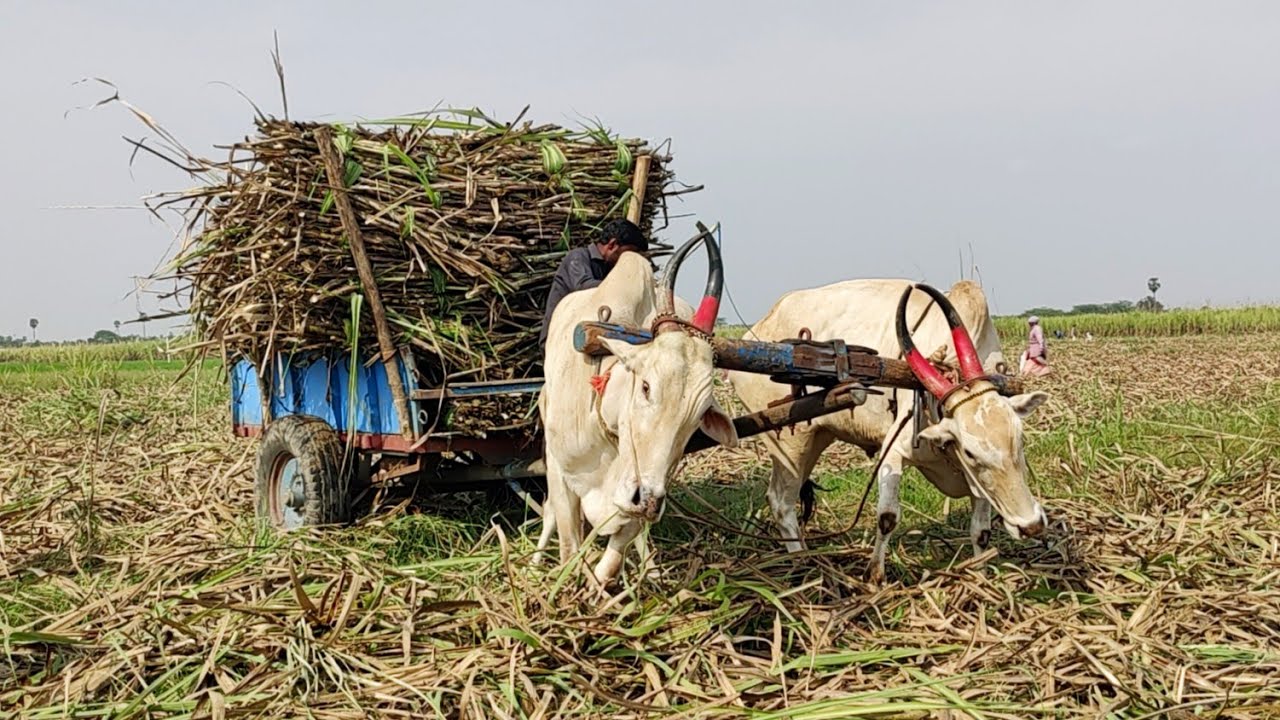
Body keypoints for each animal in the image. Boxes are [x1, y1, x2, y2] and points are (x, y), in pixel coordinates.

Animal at [535, 228, 740, 586]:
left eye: (699, 415)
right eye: (646, 387)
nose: (646, 500)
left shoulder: (649, 487)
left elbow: (616, 554)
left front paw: (602, 588)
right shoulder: (560, 470)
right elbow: (568, 543)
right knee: (548, 515)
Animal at [728, 279, 1050, 583]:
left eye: (1019, 440)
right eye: (970, 453)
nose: (1032, 526)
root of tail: (759, 327)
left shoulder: (978, 483)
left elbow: (980, 531)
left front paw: (980, 576)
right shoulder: (894, 451)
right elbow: (887, 517)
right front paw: (874, 576)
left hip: (816, 437)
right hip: (790, 444)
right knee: (781, 503)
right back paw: (802, 563)